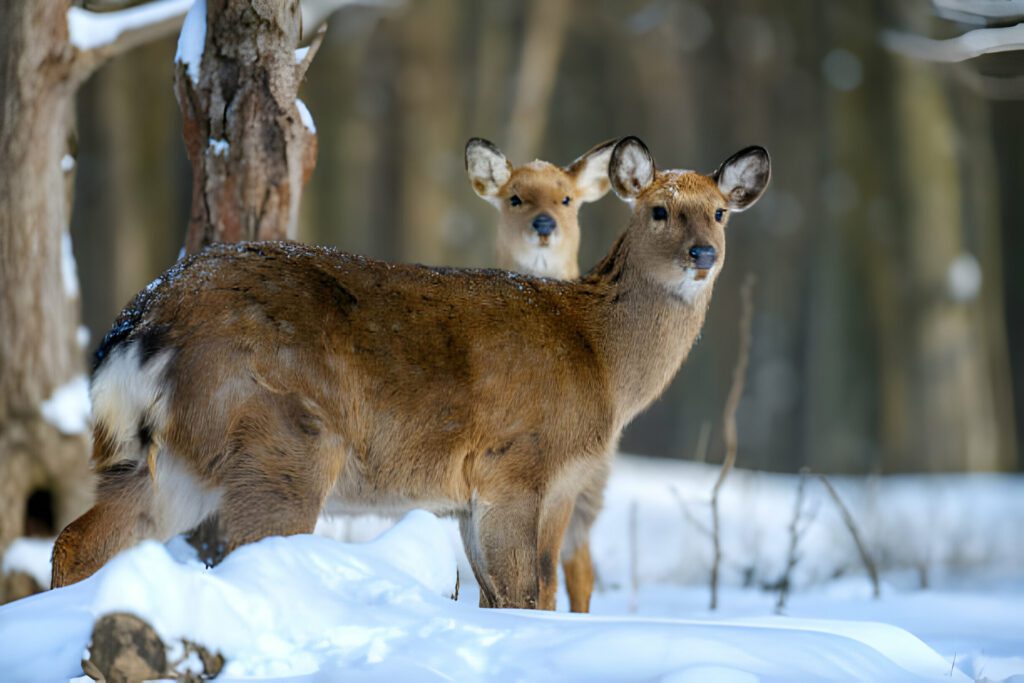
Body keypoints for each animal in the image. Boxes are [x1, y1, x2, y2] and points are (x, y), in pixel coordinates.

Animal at [49, 136, 770, 610]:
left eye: (720, 212)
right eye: (658, 210)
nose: (703, 254)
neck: (602, 361)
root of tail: (142, 320)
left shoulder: (485, 495)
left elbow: (508, 596)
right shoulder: (516, 465)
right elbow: (524, 594)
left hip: (165, 458)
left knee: (77, 541)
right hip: (280, 437)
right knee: (242, 552)